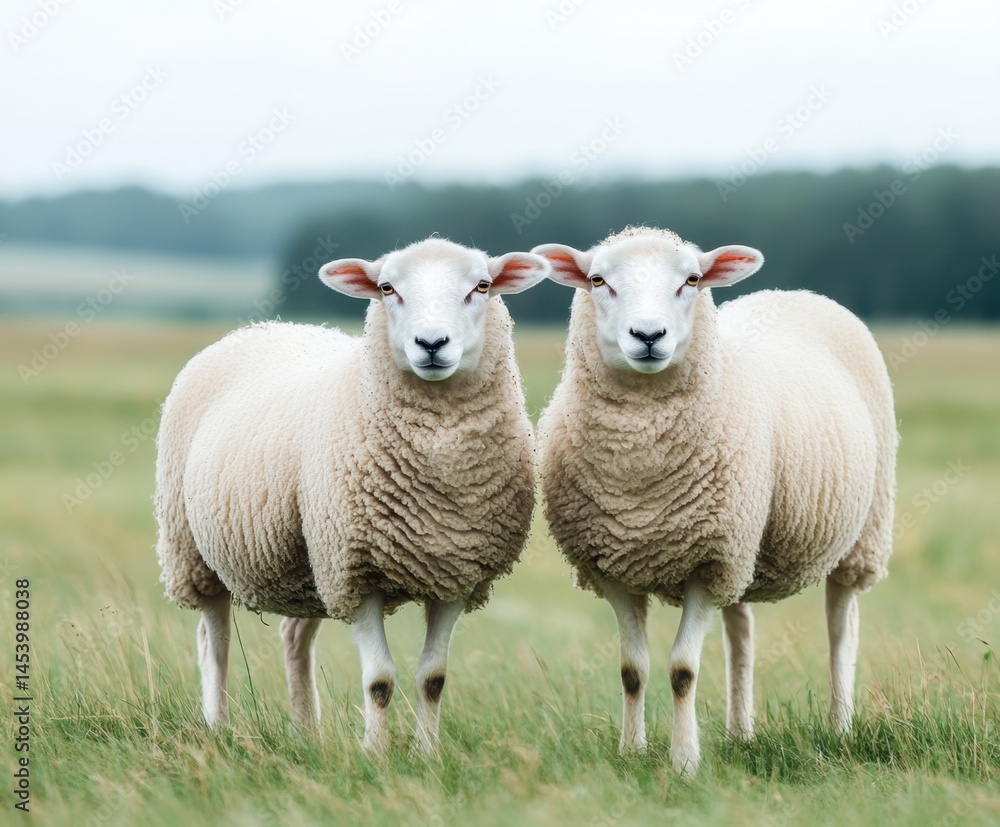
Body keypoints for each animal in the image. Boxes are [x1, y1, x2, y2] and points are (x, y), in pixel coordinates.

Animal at [154, 237, 550, 753]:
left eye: (482, 286)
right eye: (386, 288)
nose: (432, 344)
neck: (440, 465)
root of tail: (263, 328)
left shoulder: (456, 574)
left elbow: (433, 678)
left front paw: (427, 754)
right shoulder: (358, 572)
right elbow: (379, 680)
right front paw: (377, 753)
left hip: (309, 564)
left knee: (294, 637)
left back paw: (307, 734)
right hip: (194, 551)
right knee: (214, 640)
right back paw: (218, 725)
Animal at [532, 226, 896, 776]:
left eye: (692, 279)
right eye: (597, 280)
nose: (648, 336)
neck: (640, 473)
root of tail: (793, 293)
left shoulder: (706, 564)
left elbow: (682, 669)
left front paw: (684, 763)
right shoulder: (615, 565)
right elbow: (632, 669)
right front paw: (632, 751)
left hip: (861, 533)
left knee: (841, 629)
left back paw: (841, 726)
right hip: (743, 545)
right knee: (740, 633)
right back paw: (741, 732)